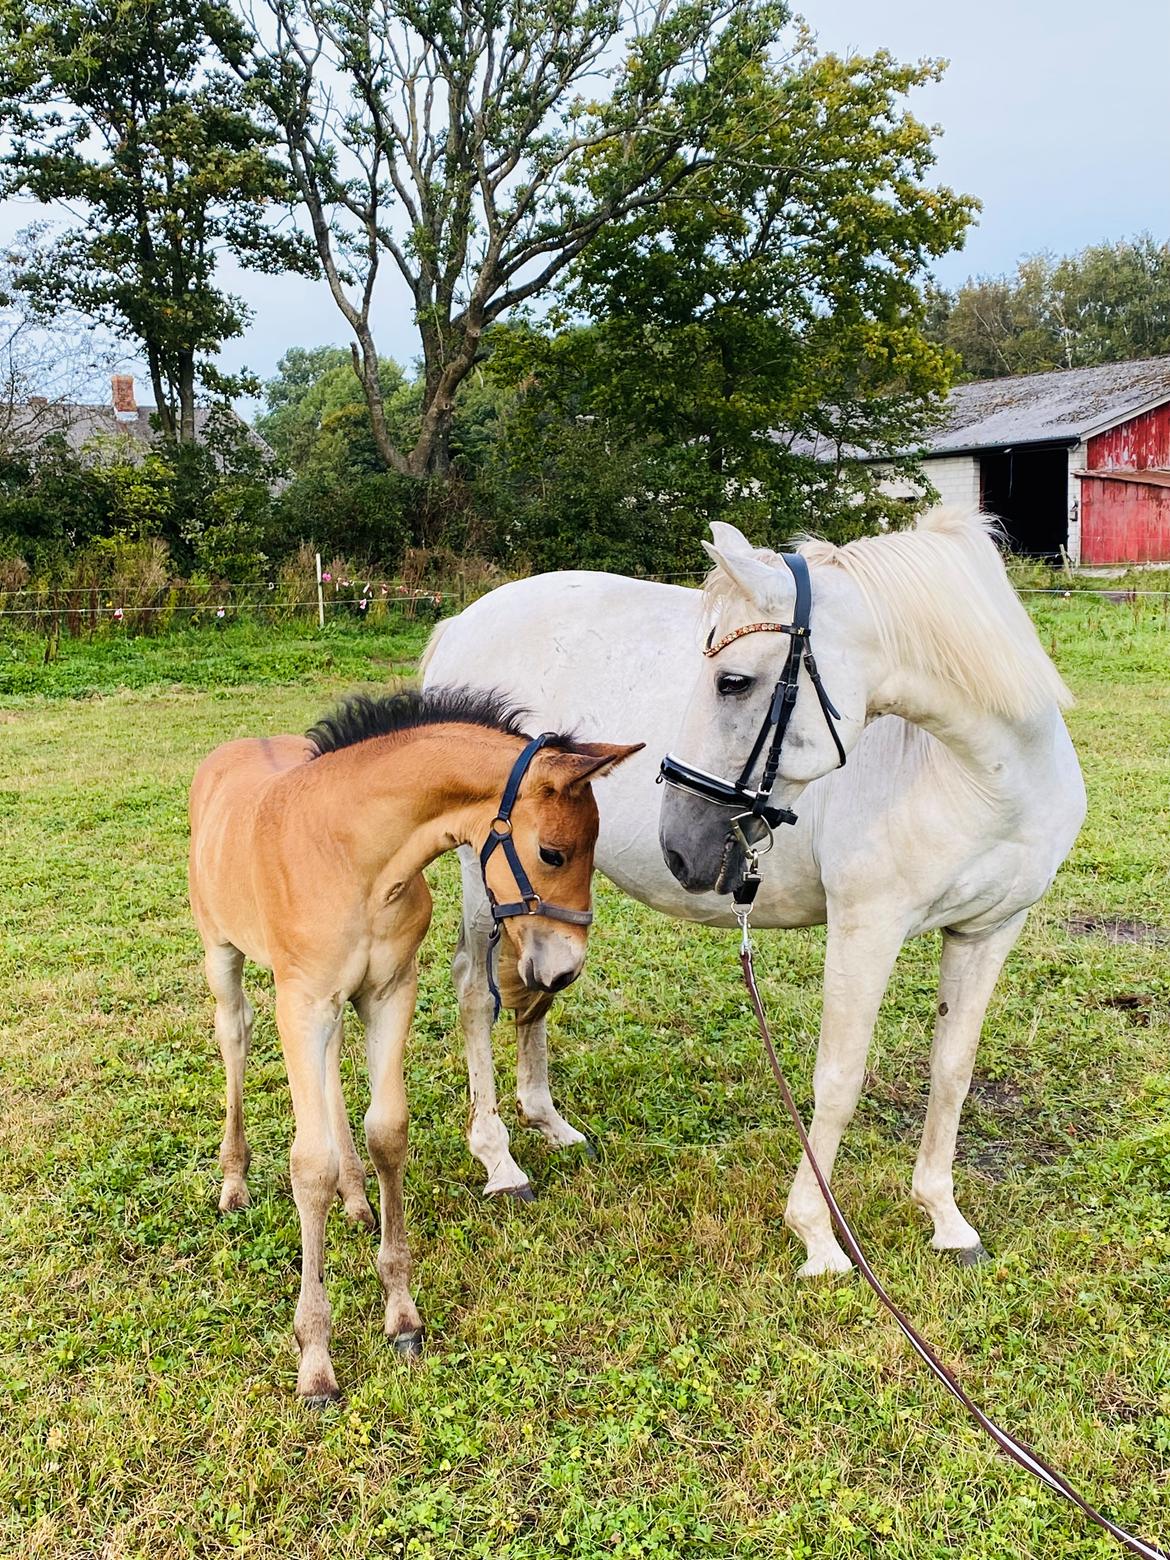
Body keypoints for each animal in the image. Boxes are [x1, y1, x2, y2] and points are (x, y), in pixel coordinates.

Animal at [188, 689, 642, 1397]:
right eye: (553, 853)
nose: (565, 969)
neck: (354, 856)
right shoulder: (301, 1004)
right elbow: (308, 1164)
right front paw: (315, 1360)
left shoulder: (389, 992)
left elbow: (388, 1133)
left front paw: (402, 1314)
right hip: (223, 954)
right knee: (234, 1037)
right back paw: (235, 1181)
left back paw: (355, 1198)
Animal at [424, 505, 1092, 1272]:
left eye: (733, 682)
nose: (680, 843)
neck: (981, 776)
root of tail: (463, 622)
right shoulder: (868, 927)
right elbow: (838, 1079)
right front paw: (818, 1235)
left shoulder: (989, 931)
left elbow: (952, 1071)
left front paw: (946, 1220)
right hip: (483, 871)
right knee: (478, 993)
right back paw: (499, 1161)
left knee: (533, 989)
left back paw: (549, 1123)